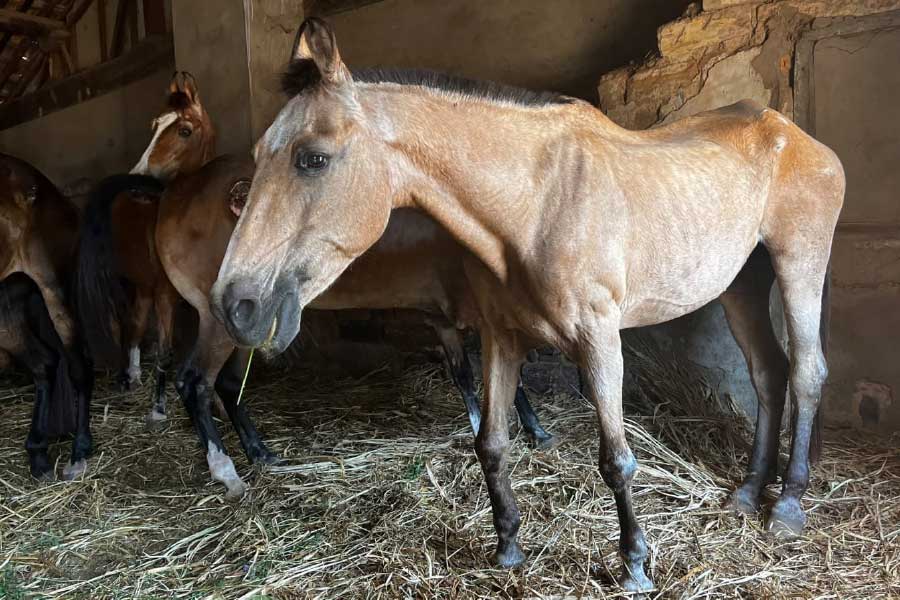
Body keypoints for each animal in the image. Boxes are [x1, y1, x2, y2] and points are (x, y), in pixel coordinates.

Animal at [210, 19, 845, 592]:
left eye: (313, 159)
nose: (234, 304)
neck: (536, 203)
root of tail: (792, 132)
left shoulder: (600, 341)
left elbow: (616, 460)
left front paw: (634, 565)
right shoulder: (500, 337)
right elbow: (491, 444)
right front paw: (509, 548)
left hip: (799, 261)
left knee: (808, 372)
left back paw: (787, 506)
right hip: (739, 284)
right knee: (768, 374)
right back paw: (747, 492)